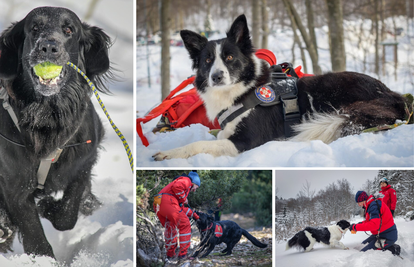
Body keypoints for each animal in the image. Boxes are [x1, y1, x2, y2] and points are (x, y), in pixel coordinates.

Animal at [0, 6, 111, 258]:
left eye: (68, 30)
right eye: (34, 28)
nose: (49, 47)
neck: (46, 116)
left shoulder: (84, 160)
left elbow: (67, 215)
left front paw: (48, 206)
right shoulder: (14, 185)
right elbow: (35, 236)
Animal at [152, 15, 408, 161]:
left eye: (230, 57)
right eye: (207, 60)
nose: (216, 76)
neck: (241, 92)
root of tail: (393, 95)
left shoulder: (245, 142)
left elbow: (199, 144)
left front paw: (170, 153)